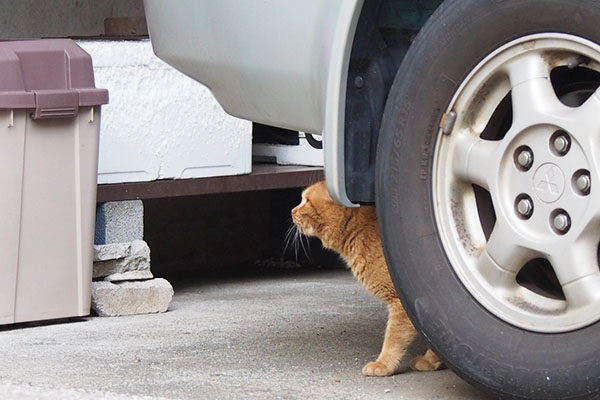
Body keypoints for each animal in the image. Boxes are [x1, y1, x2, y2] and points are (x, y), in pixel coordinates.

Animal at [292, 180, 440, 376]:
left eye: (306, 200)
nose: (291, 211)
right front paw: (431, 361)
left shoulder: (402, 302)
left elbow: (393, 338)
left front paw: (383, 364)